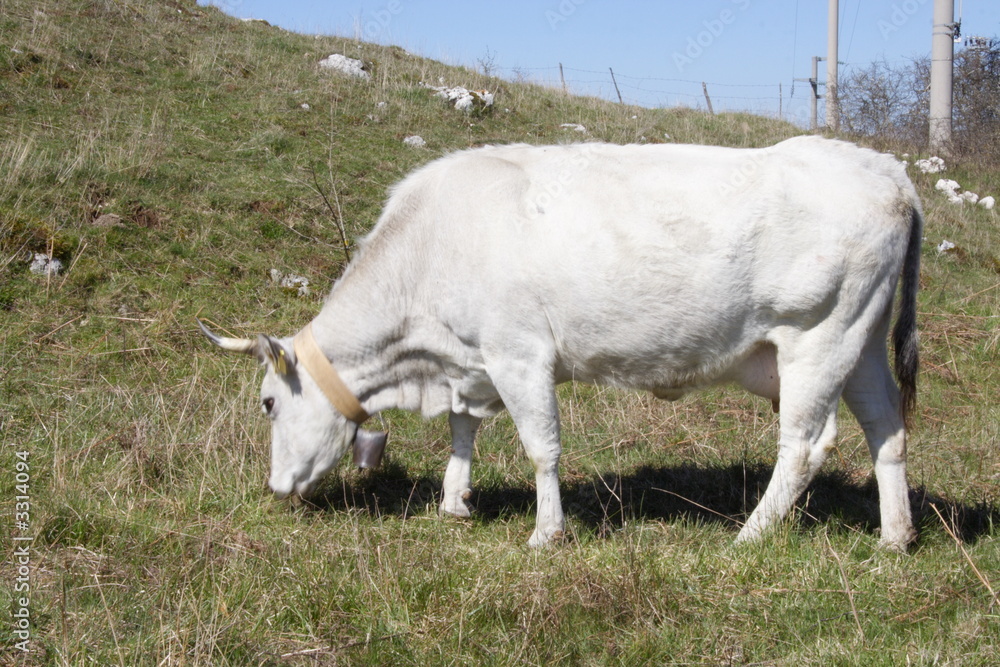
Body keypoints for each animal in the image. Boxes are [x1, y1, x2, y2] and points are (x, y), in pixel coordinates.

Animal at [201, 136, 922, 550]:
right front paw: (453, 502)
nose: (276, 485)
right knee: (887, 429)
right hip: (861, 344)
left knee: (804, 444)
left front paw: (547, 532)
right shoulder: (471, 361)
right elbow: (463, 429)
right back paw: (894, 536)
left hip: (817, 336)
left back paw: (750, 535)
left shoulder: (518, 353)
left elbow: (540, 446)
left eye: (268, 402)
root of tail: (881, 166)